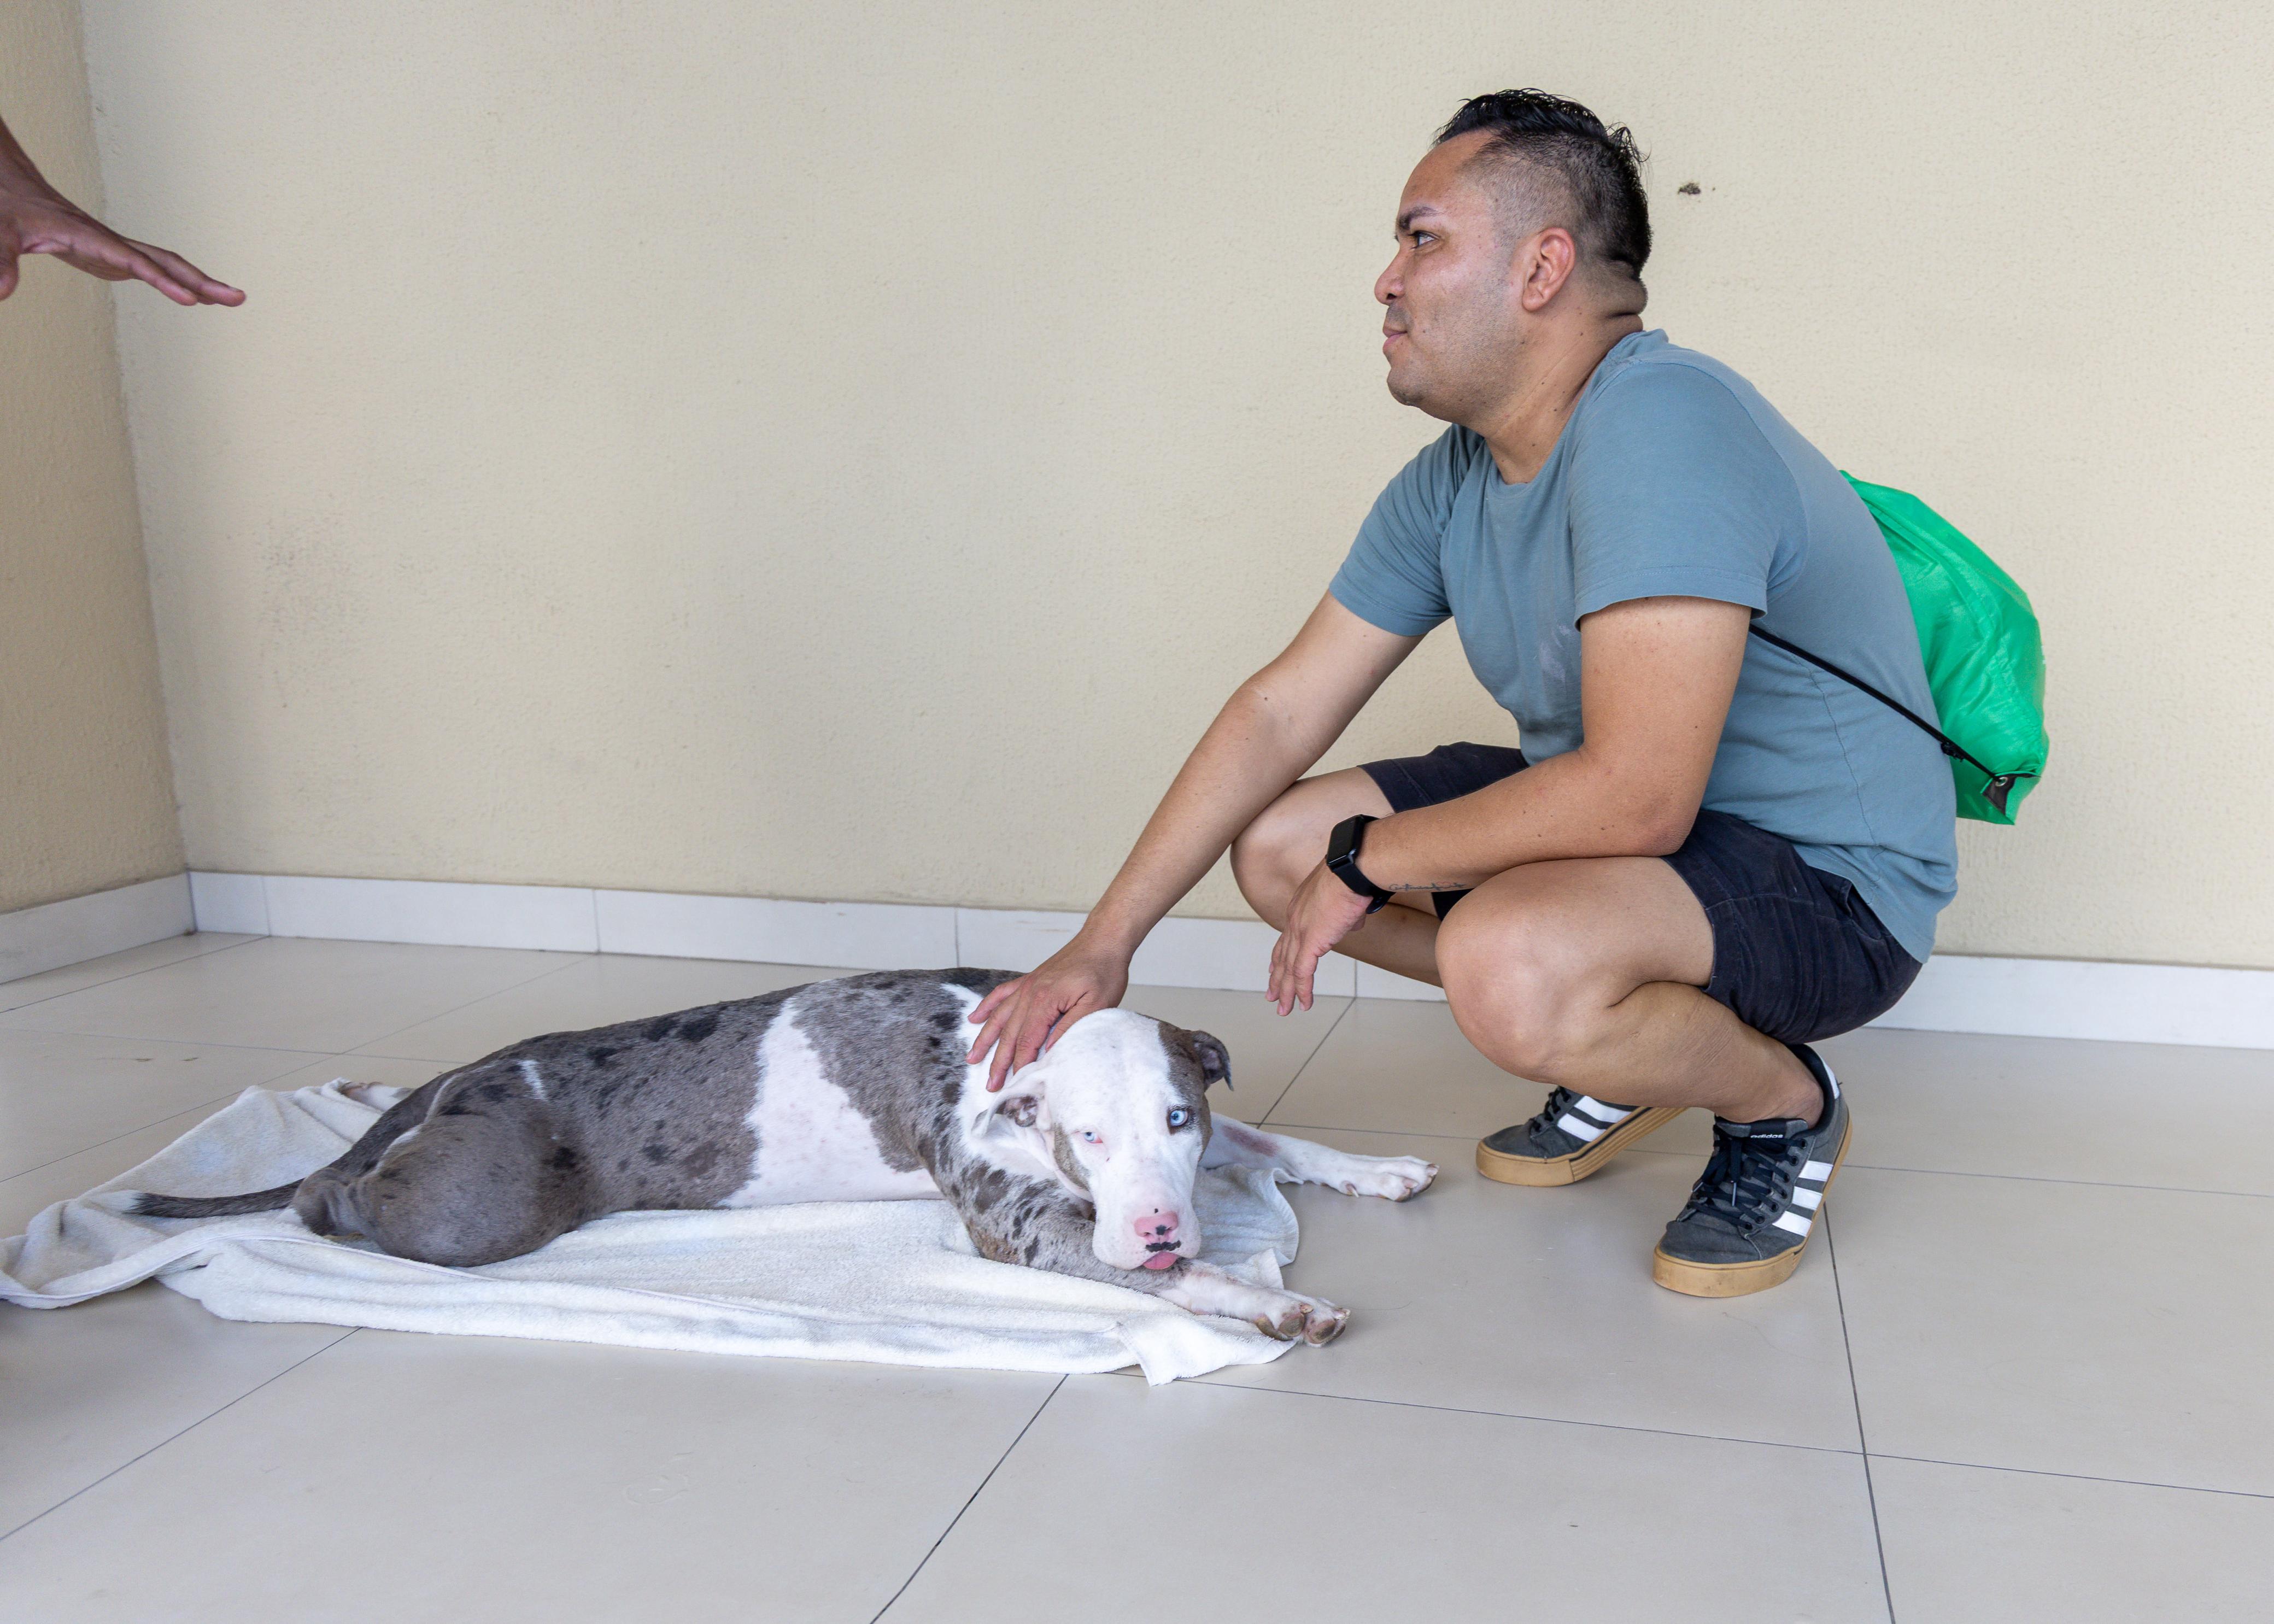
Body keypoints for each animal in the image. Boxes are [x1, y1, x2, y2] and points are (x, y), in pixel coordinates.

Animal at [131, 969, 1438, 1344]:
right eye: (1088, 1137)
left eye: (1176, 1122)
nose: (1161, 1225)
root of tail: (490, 1063)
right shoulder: (1022, 1228)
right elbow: (1187, 1283)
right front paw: (1274, 1304)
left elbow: (1270, 1136)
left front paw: (1369, 1170)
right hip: (478, 1201)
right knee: (332, 1193)